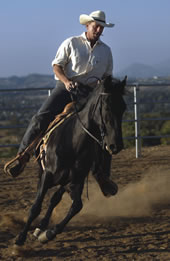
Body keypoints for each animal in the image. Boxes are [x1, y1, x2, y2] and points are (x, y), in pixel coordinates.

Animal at [14, 74, 127, 244]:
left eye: (123, 108)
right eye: (106, 107)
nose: (116, 145)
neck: (72, 142)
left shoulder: (77, 180)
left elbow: (76, 206)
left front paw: (48, 234)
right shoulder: (47, 175)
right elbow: (35, 207)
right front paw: (20, 238)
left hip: (66, 180)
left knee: (55, 198)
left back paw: (41, 227)